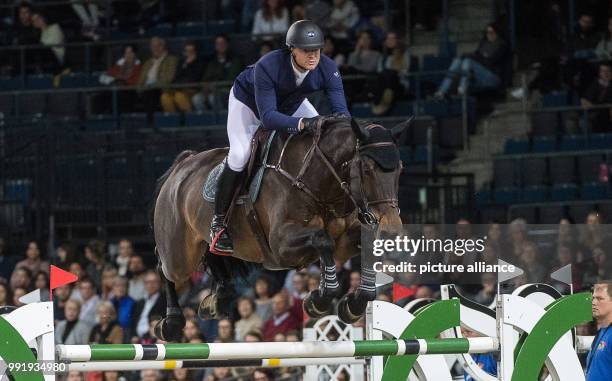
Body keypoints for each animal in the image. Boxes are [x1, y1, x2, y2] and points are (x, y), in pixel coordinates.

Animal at [149, 117, 406, 340]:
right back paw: (171, 323)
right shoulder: (281, 248)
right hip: (180, 256)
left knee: (215, 256)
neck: (319, 182)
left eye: (400, 169)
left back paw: (217, 299)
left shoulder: (344, 241)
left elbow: (358, 247)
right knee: (165, 268)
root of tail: (183, 164)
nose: (391, 229)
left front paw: (352, 304)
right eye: (367, 169)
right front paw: (319, 300)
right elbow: (323, 240)